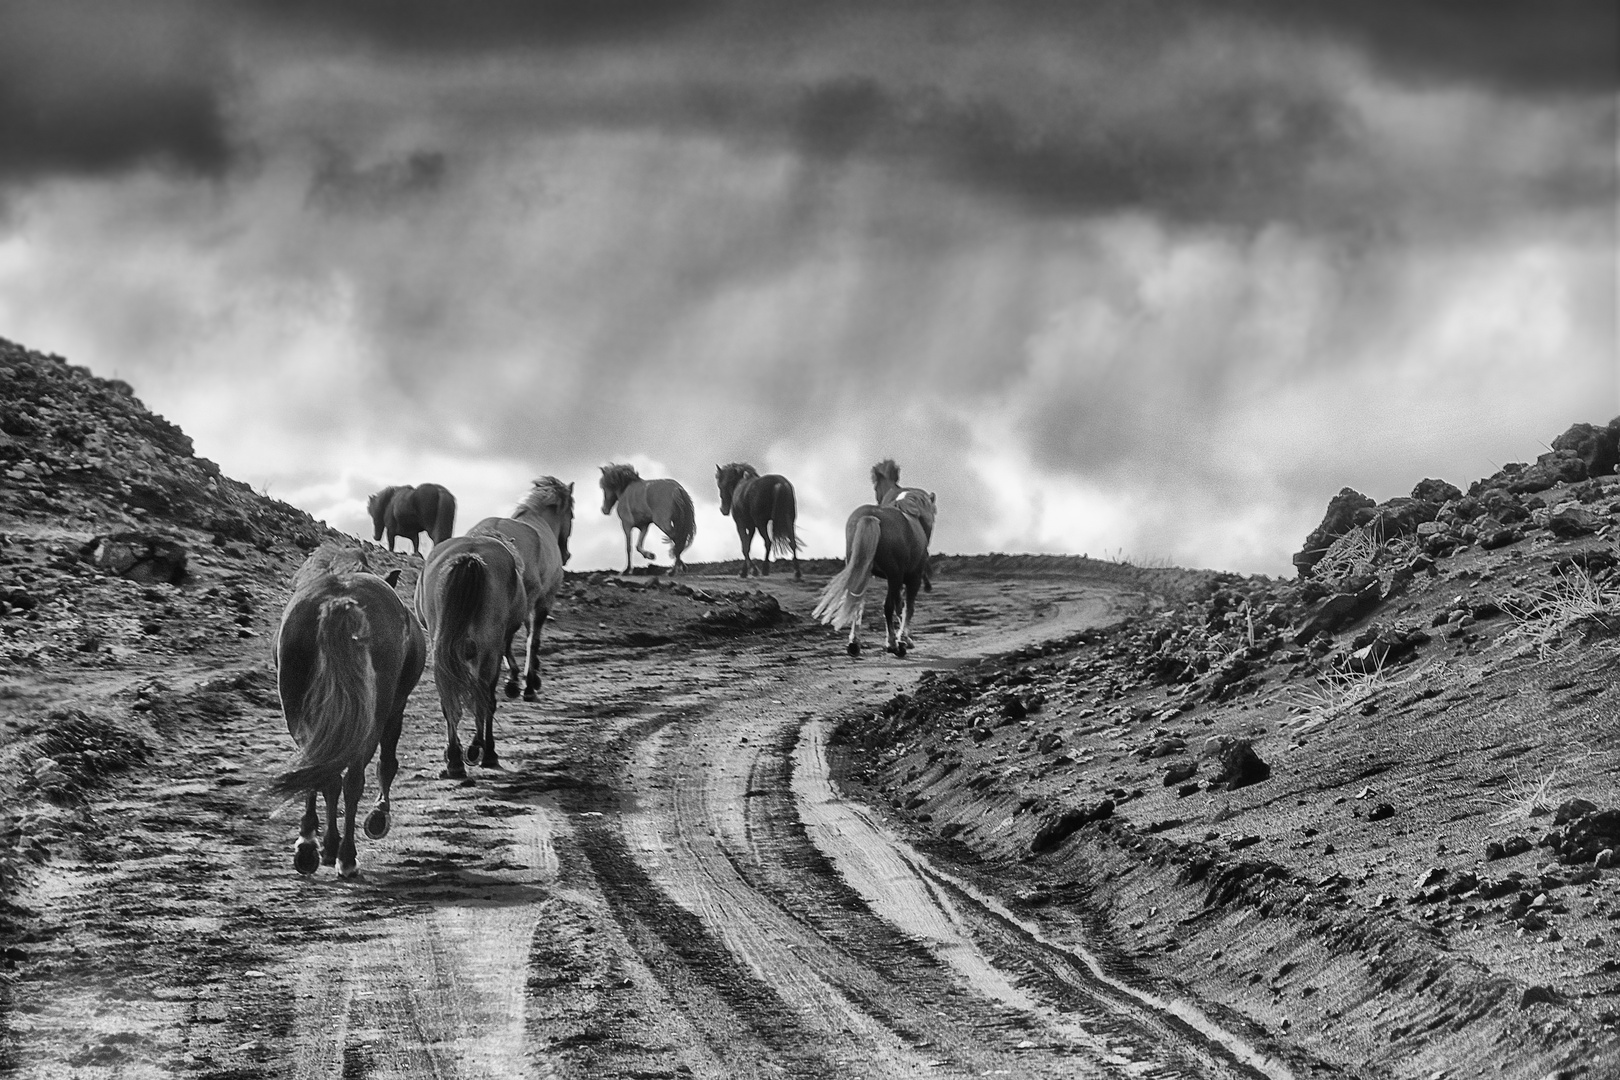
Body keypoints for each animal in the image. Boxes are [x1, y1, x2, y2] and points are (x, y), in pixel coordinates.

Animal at [270, 544, 424, 880]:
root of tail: (339, 601)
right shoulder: (396, 708)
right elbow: (387, 764)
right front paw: (378, 818)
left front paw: (321, 845)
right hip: (374, 716)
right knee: (354, 778)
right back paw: (347, 856)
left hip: (298, 711)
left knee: (319, 770)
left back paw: (309, 847)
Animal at [414, 531, 528, 777]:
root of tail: (470, 556)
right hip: (487, 651)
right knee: (484, 699)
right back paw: (482, 751)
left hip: (443, 651)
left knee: (449, 702)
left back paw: (455, 759)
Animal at [469, 476, 576, 702]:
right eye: (571, 515)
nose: (566, 555)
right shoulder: (544, 600)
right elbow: (532, 639)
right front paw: (530, 682)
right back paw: (514, 684)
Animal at [810, 488, 939, 660]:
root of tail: (870, 517)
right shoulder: (912, 578)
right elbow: (907, 608)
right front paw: (904, 639)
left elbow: (899, 607)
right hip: (894, 576)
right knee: (887, 607)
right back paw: (893, 645)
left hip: (864, 572)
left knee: (857, 604)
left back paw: (854, 643)